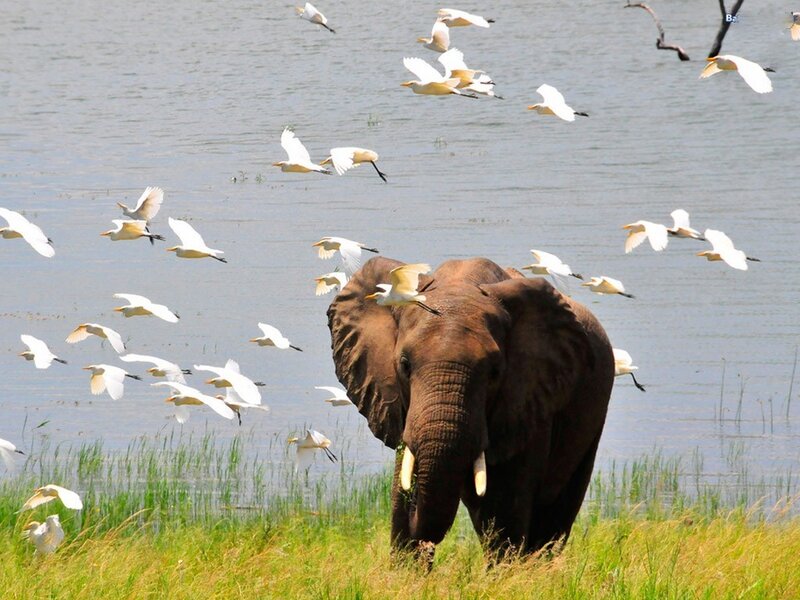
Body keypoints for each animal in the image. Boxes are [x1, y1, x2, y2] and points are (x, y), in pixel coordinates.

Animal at [327, 256, 614, 560]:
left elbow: (506, 515)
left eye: (495, 372)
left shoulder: (528, 399)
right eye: (404, 365)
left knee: (553, 516)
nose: (426, 541)